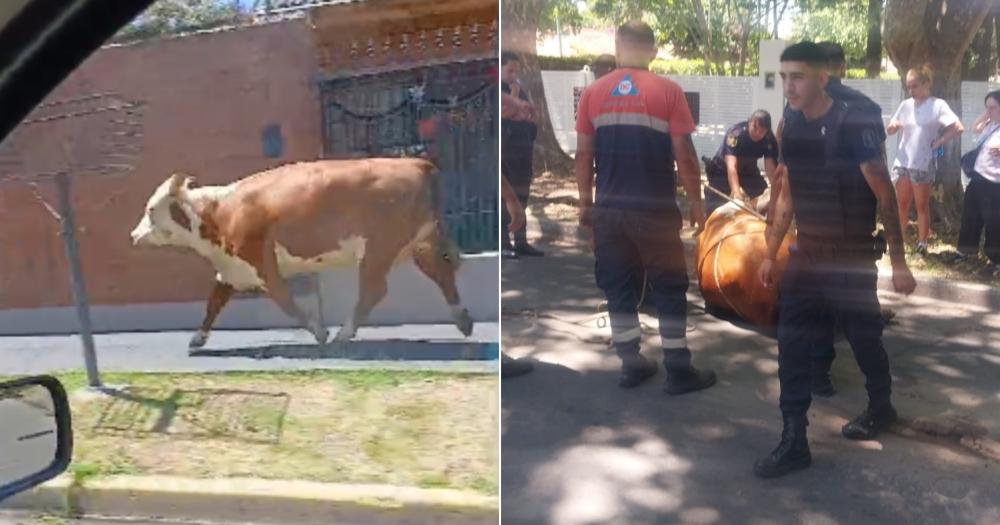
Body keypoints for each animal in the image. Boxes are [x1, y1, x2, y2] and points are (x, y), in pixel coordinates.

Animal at [129, 160, 472, 348]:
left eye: (150, 210)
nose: (133, 235)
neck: (217, 212)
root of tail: (416, 163)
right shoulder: (232, 268)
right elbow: (213, 302)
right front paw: (197, 339)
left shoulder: (261, 263)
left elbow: (286, 302)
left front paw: (319, 331)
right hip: (421, 243)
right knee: (442, 271)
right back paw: (463, 320)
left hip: (377, 249)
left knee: (374, 290)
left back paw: (343, 334)